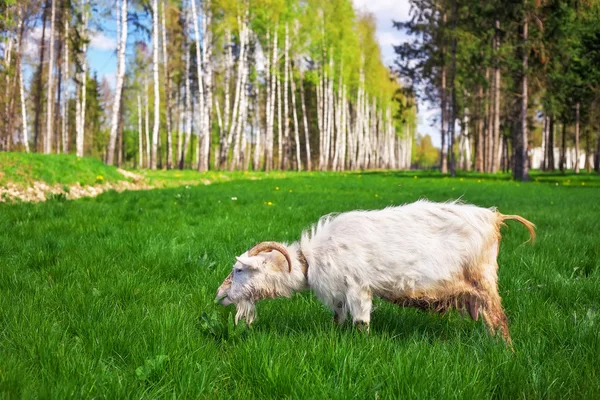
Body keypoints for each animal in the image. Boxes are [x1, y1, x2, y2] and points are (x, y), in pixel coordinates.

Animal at [216, 200, 536, 344]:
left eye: (239, 269)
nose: (219, 295)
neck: (311, 259)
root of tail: (495, 218)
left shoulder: (358, 288)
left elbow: (361, 323)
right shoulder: (340, 295)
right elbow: (338, 319)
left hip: (484, 280)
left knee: (499, 319)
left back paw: (506, 352)